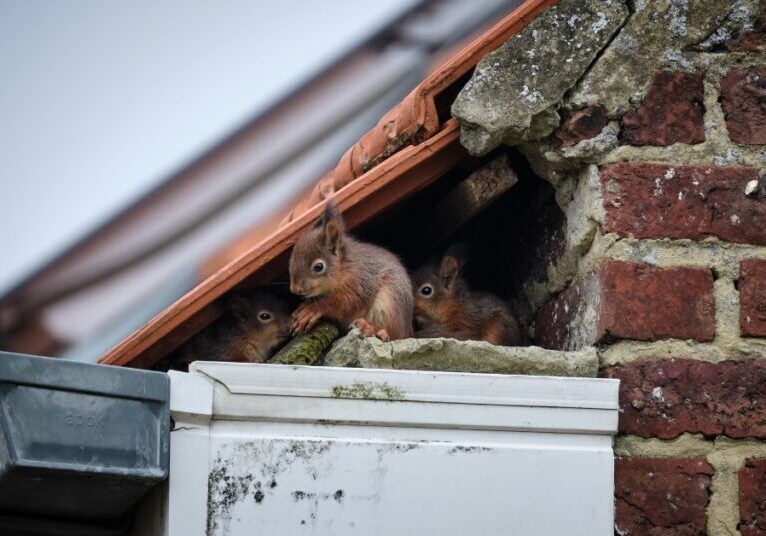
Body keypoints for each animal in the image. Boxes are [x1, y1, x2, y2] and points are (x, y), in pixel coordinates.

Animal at [289, 200, 413, 341]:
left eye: (318, 267)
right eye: (291, 259)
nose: (294, 289)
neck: (344, 268)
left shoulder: (360, 279)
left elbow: (347, 302)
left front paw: (312, 310)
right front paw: (303, 307)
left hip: (389, 303)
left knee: (394, 334)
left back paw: (371, 328)